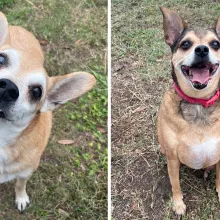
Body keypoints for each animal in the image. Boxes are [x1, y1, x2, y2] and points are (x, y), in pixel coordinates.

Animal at [0, 11, 95, 211]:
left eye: (37, 92)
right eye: (1, 59)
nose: (7, 87)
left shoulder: (25, 173)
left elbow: (20, 184)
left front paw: (21, 197)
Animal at [157, 7, 220, 215]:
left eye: (215, 44)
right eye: (185, 44)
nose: (202, 50)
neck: (199, 103)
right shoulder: (173, 157)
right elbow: (175, 184)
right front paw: (178, 204)